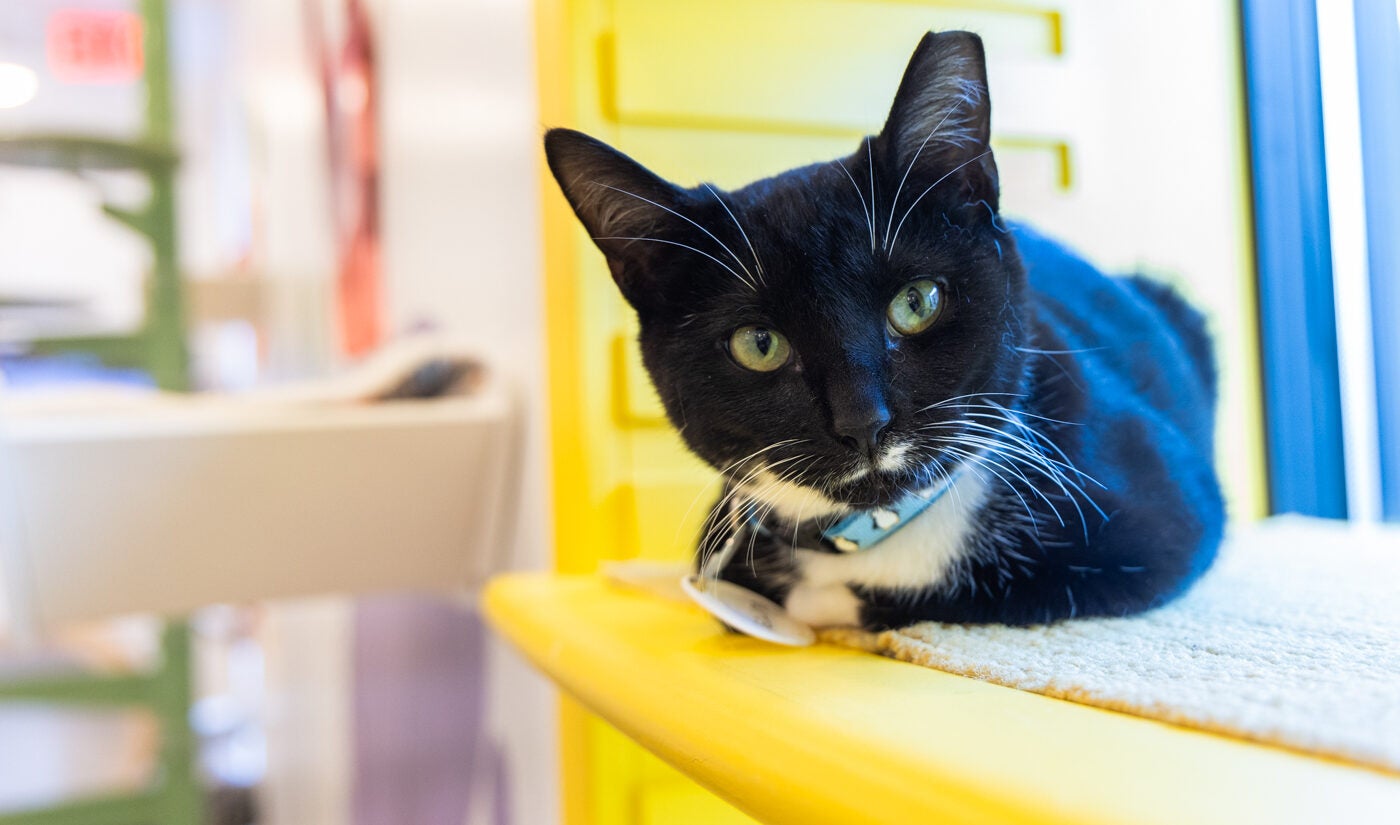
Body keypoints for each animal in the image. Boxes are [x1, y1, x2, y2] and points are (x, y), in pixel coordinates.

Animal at [540, 28, 1220, 627]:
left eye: (916, 303)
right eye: (758, 344)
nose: (863, 421)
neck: (879, 528)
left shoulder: (1164, 518)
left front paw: (820, 601)